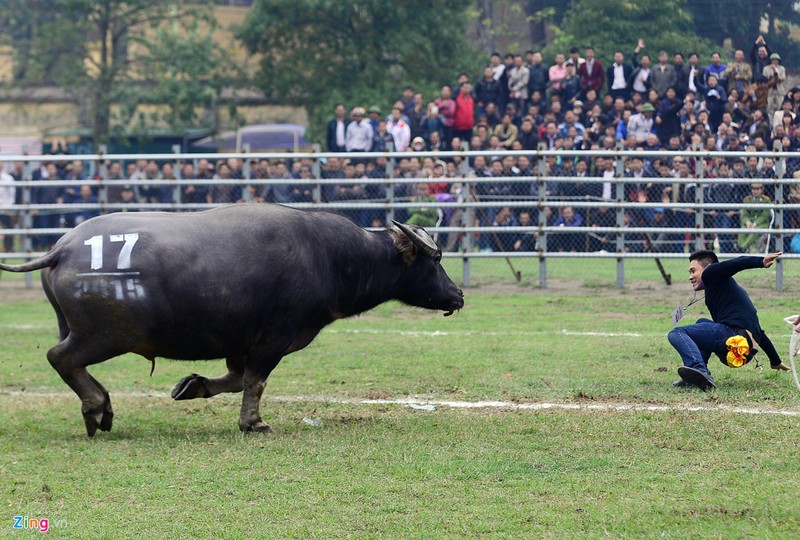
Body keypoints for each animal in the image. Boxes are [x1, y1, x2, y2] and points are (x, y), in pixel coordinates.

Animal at [1, 205, 462, 436]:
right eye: (435, 260)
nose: (457, 295)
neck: (329, 257)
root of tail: (61, 249)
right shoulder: (272, 341)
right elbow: (255, 382)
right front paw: (253, 423)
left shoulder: (240, 344)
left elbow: (236, 379)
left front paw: (191, 387)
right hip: (104, 335)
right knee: (61, 358)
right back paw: (97, 409)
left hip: (80, 329)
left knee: (68, 362)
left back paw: (103, 407)